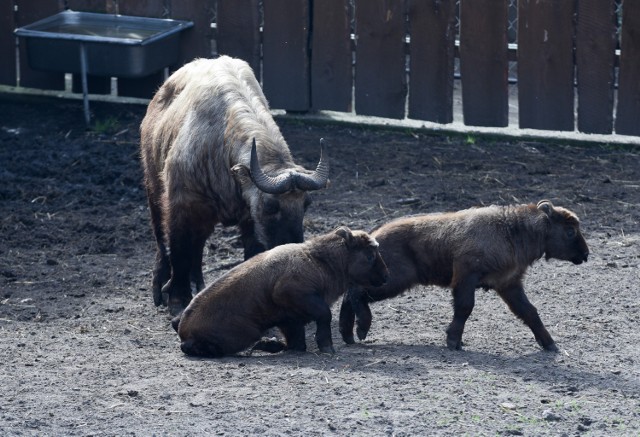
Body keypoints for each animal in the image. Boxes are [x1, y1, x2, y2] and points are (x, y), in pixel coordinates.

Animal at [141, 56, 330, 316]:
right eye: (270, 206)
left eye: (307, 204)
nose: (291, 247)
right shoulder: (182, 206)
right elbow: (179, 250)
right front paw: (178, 300)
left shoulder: (248, 219)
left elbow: (251, 256)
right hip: (154, 189)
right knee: (162, 239)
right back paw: (161, 286)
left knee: (197, 247)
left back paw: (198, 284)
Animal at [172, 227, 388, 356]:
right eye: (370, 255)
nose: (386, 276)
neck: (319, 260)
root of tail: (184, 327)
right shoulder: (292, 294)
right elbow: (324, 315)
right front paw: (327, 347)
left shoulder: (290, 319)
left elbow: (297, 343)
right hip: (246, 333)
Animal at [340, 200, 592, 350]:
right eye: (570, 231)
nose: (586, 254)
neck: (512, 229)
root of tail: (375, 235)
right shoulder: (466, 278)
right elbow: (464, 308)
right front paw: (453, 341)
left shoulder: (508, 284)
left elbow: (529, 312)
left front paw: (550, 344)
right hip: (390, 281)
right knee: (355, 294)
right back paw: (361, 330)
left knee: (350, 296)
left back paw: (348, 335)